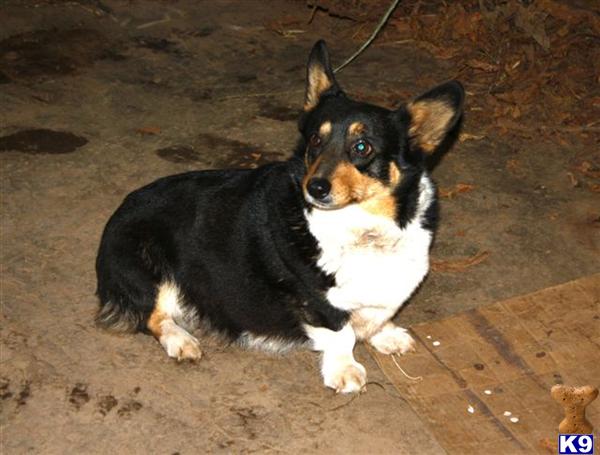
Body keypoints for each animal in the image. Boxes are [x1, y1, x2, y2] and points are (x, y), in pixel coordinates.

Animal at [97, 41, 464, 394]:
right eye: (315, 140)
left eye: (362, 147)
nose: (315, 188)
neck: (364, 227)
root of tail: (120, 209)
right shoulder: (318, 302)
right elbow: (342, 332)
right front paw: (344, 371)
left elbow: (377, 315)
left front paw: (386, 334)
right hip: (148, 266)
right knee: (151, 316)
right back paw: (181, 340)